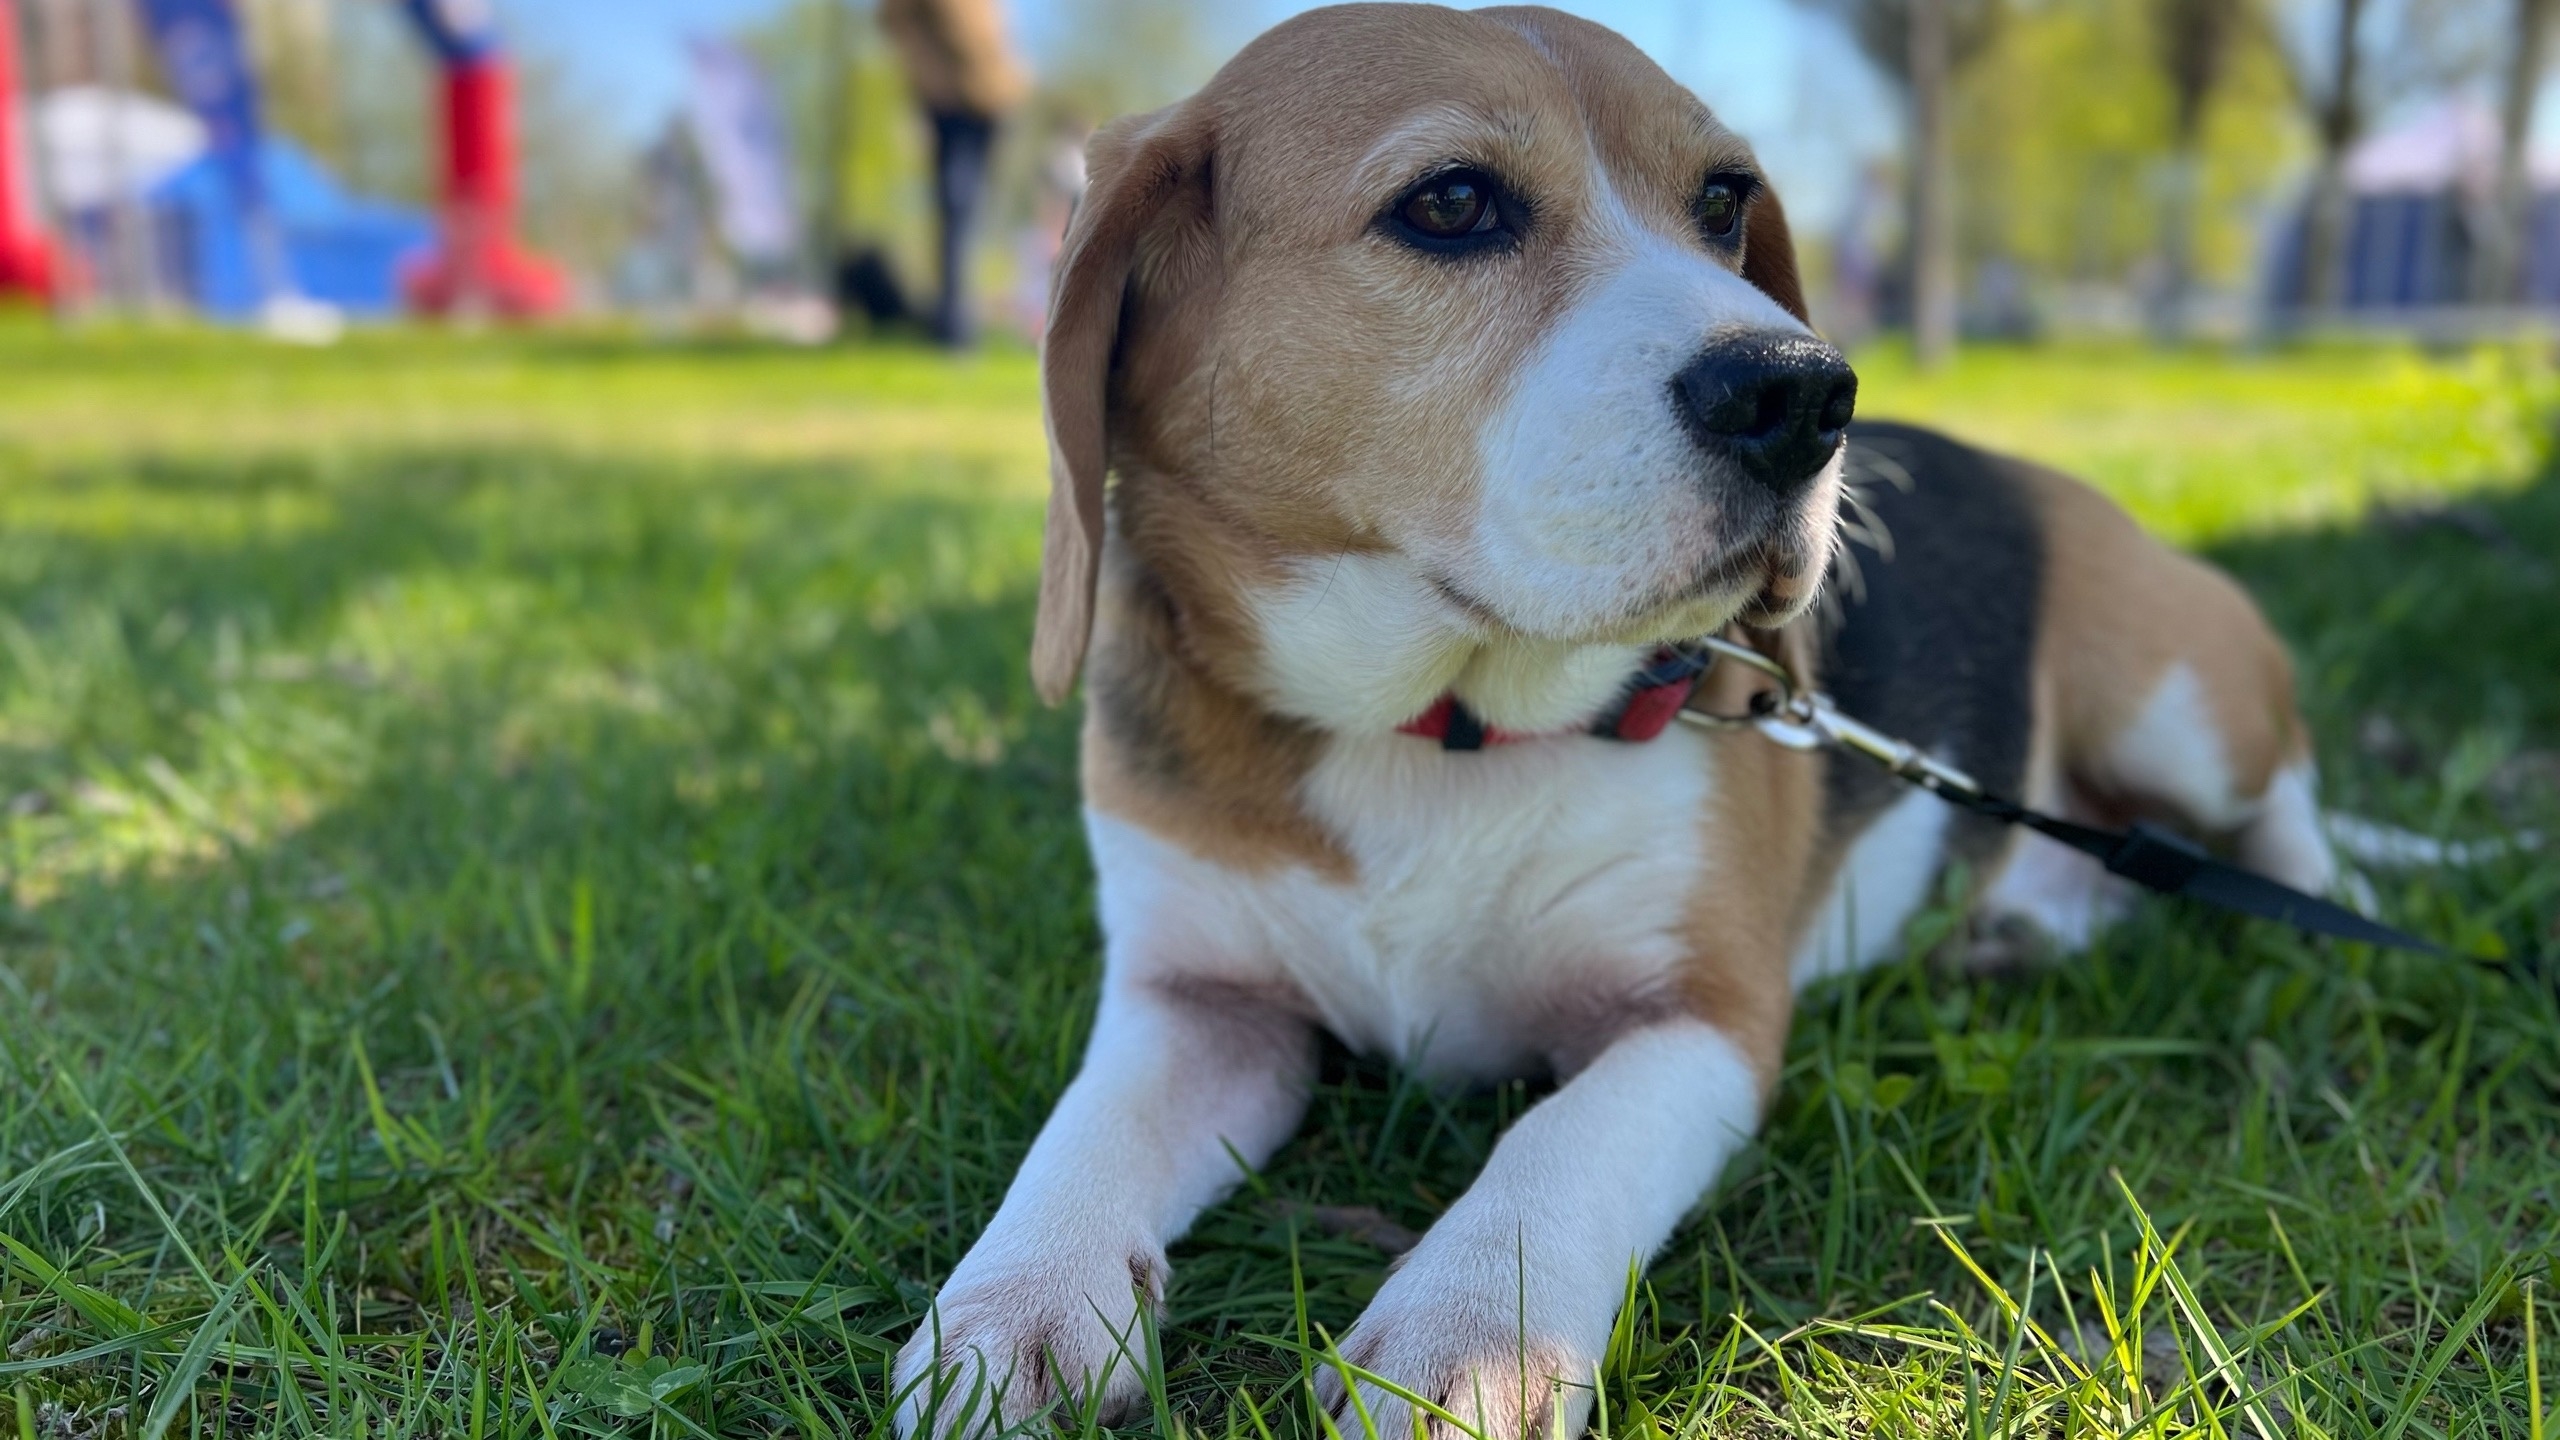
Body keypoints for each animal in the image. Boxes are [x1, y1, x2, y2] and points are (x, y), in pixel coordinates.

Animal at [890, 5, 2334, 1424]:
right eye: (1452, 202)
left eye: (1722, 201)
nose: (1807, 394)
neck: (1439, 731)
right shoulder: (1197, 995)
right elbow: (1089, 1128)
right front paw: (1015, 1306)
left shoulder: (1704, 1015)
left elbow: (1557, 1143)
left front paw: (1466, 1340)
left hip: (2176, 706)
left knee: (2283, 810)